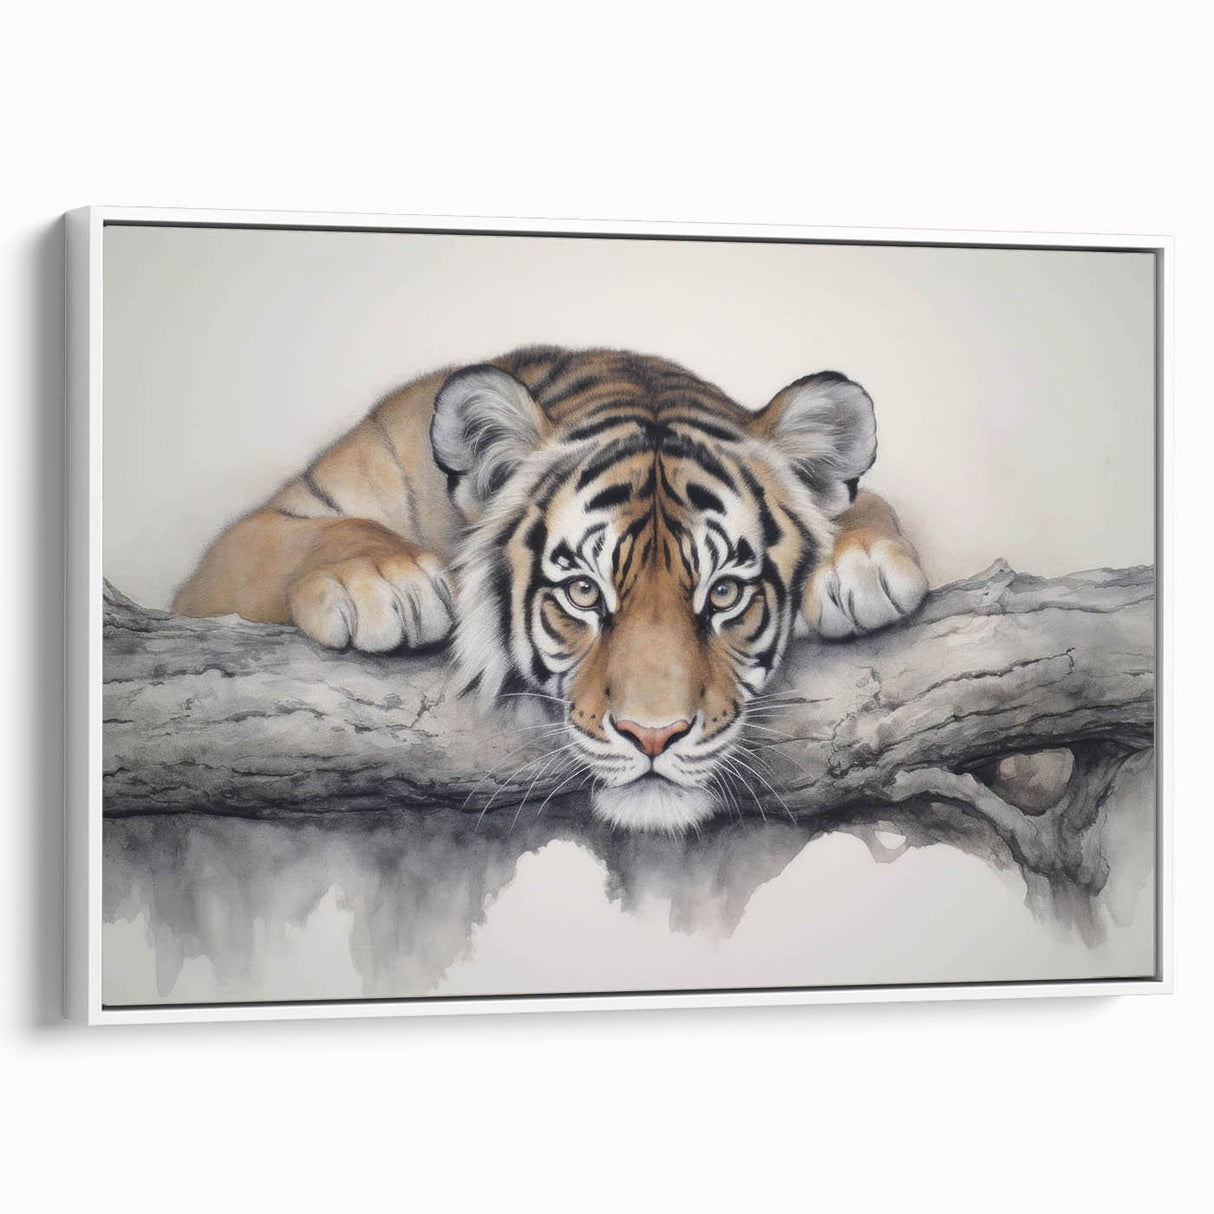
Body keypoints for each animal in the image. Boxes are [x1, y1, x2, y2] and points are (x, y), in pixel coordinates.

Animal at [174, 346, 928, 831]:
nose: (653, 738)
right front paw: (387, 581)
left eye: (723, 595)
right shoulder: (235, 552)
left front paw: (864, 564)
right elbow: (318, 533)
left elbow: (864, 505)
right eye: (584, 594)